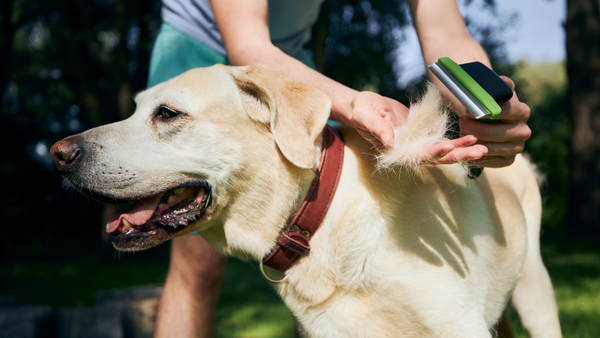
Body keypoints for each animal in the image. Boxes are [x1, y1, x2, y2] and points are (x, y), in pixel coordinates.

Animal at [51, 64, 564, 336]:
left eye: (168, 114)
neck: (320, 218)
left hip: (535, 291)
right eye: (136, 110)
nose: (59, 154)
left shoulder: (456, 324)